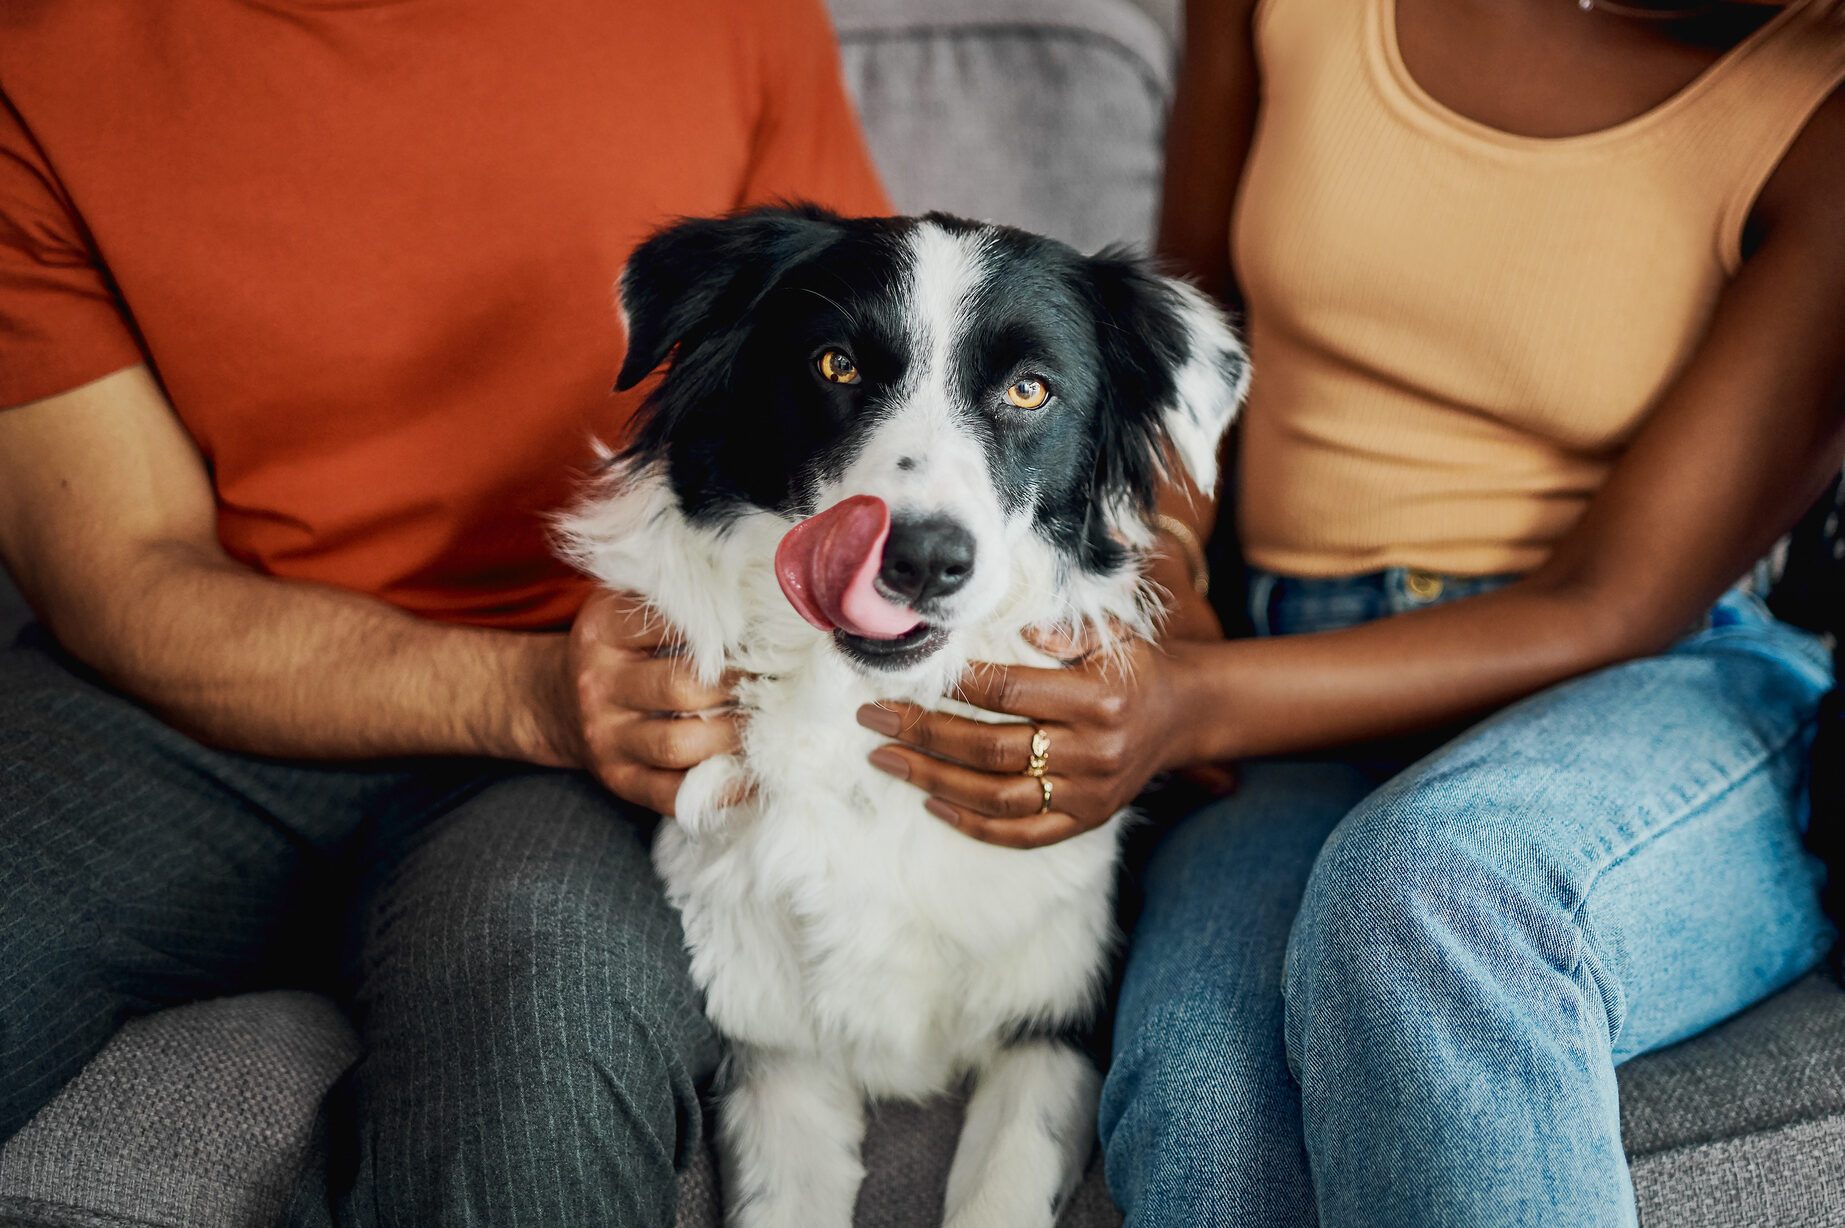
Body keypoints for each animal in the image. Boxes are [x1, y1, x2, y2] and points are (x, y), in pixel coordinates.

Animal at [560, 208, 1247, 1224]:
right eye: (836, 365)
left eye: (1029, 389)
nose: (922, 557)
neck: (862, 716)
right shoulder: (772, 1052)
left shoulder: (1056, 1021)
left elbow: (999, 1191)